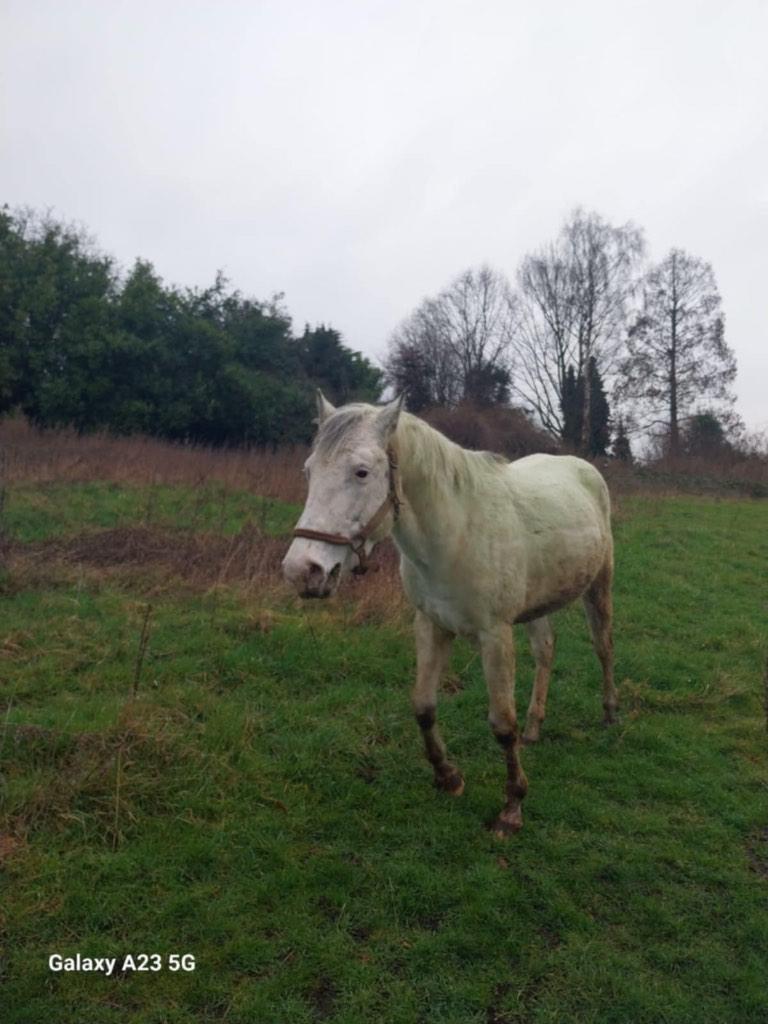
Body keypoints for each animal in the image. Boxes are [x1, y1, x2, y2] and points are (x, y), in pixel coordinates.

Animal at [282, 393, 618, 836]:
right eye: (308, 471)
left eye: (361, 472)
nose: (302, 571)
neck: (456, 532)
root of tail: (583, 468)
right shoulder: (430, 625)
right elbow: (423, 706)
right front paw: (448, 777)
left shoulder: (495, 635)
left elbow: (501, 724)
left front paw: (512, 807)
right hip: (535, 605)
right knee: (546, 651)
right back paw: (534, 727)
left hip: (599, 587)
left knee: (603, 647)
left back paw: (610, 713)